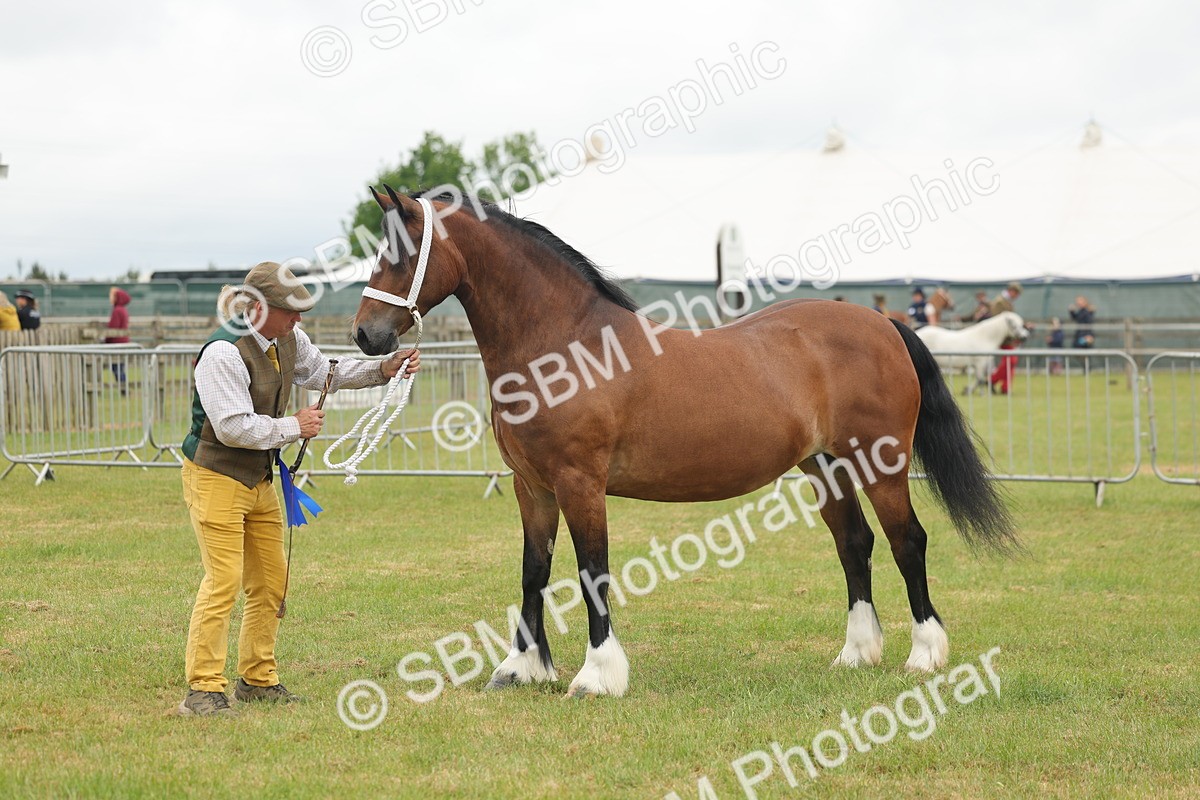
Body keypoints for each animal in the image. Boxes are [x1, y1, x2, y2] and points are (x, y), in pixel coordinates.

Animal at [352, 188, 1017, 698]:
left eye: (400, 255)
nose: (365, 335)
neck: (564, 345)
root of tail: (883, 323)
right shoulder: (531, 486)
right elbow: (533, 571)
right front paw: (521, 669)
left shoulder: (579, 483)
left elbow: (591, 570)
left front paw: (598, 676)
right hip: (824, 466)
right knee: (855, 545)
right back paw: (856, 654)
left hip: (881, 464)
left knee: (908, 543)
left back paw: (924, 654)